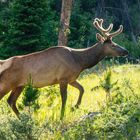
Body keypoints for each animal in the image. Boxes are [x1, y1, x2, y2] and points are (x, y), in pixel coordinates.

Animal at [0, 18, 128, 119]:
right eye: (113, 45)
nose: (126, 51)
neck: (80, 62)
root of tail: (4, 63)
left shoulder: (71, 79)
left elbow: (82, 89)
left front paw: (75, 106)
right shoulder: (63, 78)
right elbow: (64, 98)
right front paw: (62, 116)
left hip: (19, 85)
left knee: (11, 101)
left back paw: (23, 119)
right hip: (7, 83)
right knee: (8, 100)